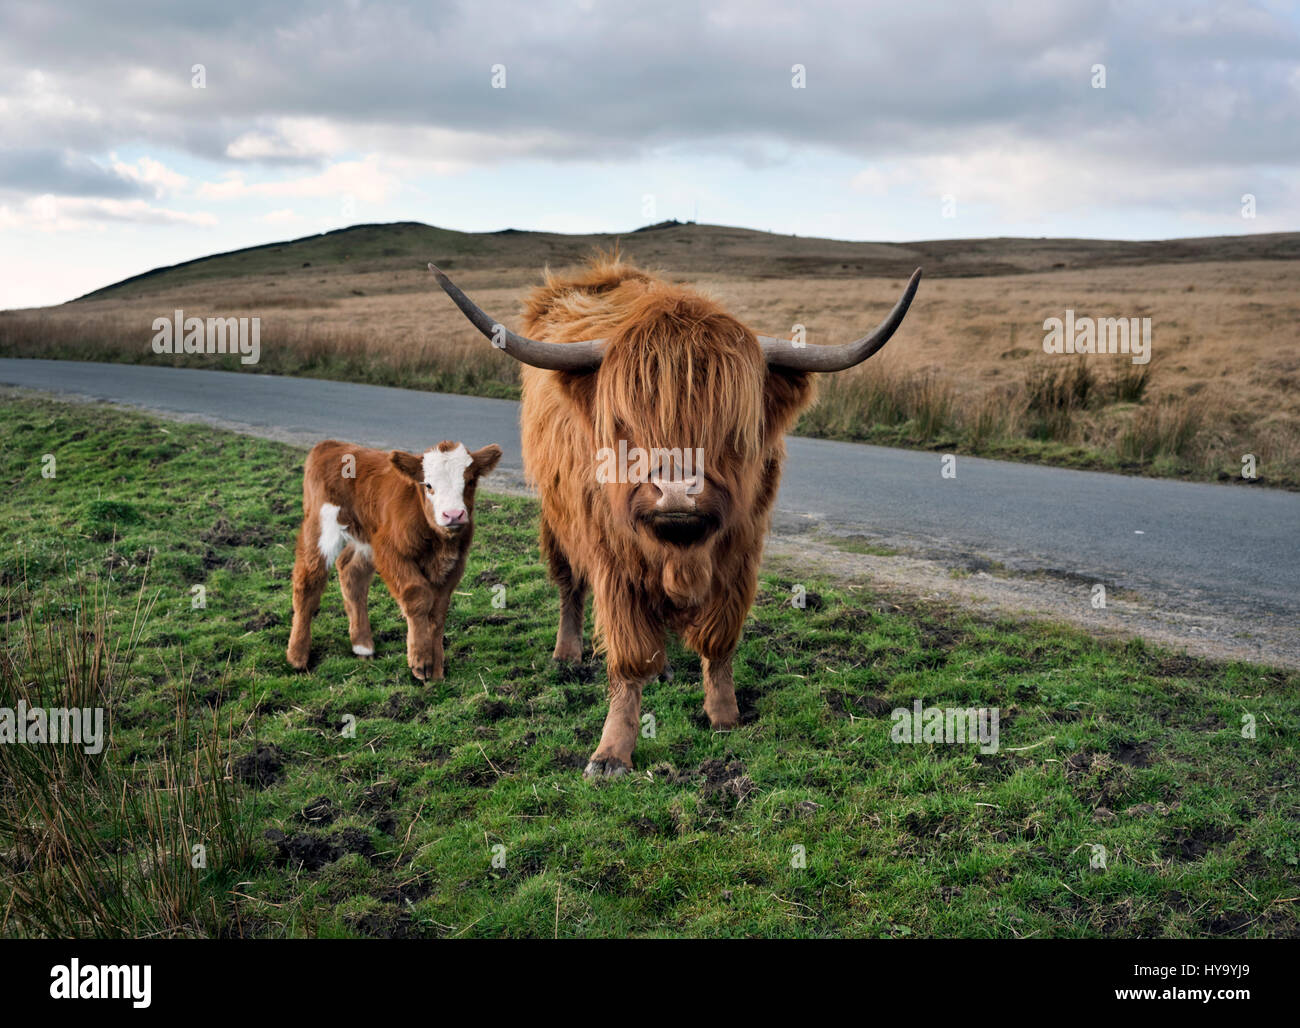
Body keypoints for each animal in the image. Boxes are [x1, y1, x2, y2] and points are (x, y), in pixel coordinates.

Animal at [287, 439, 499, 681]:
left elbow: (438, 611)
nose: (453, 514)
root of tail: (330, 445)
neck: (440, 543)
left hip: (365, 536)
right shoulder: (389, 550)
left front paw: (436, 668)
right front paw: (421, 661)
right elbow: (418, 596)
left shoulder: (455, 564)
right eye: (428, 484)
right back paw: (297, 656)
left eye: (470, 481)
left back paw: (362, 645)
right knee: (308, 581)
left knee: (352, 572)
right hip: (322, 526)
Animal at [426, 253, 915, 774]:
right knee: (568, 586)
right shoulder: (613, 562)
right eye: (625, 422)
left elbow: (718, 642)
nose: (678, 491)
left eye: (729, 426)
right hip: (556, 519)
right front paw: (611, 752)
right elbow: (629, 658)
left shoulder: (740, 554)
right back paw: (567, 652)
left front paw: (724, 716)